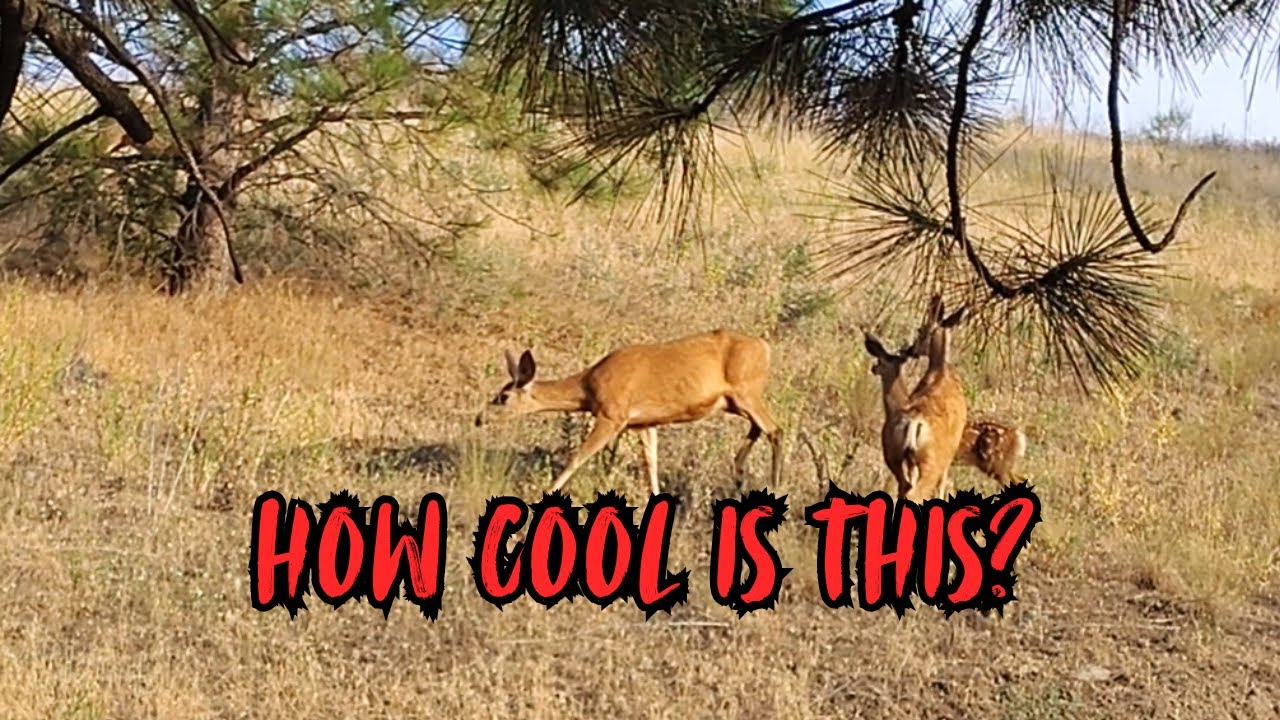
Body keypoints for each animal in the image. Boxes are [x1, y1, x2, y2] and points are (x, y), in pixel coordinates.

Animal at [474, 329, 784, 496]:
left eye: (503, 397)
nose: (479, 418)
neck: (589, 386)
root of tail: (765, 348)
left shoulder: (613, 415)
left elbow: (577, 458)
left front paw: (545, 493)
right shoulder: (644, 423)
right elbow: (651, 465)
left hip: (746, 391)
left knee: (775, 430)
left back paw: (774, 485)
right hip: (736, 401)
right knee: (760, 429)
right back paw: (740, 474)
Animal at [863, 294, 968, 503]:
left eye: (921, 330)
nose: (911, 350)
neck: (940, 370)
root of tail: (913, 424)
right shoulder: (949, 455)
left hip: (895, 457)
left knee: (904, 488)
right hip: (931, 462)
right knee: (916, 492)